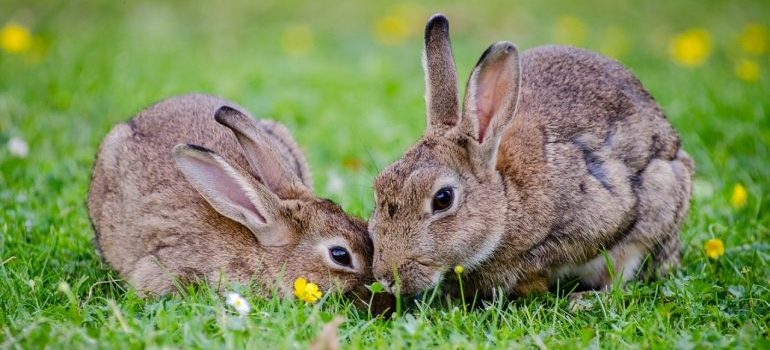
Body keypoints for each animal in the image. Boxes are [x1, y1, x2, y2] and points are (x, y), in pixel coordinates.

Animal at [368, 15, 692, 296]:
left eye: (443, 199)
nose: (386, 277)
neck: (506, 199)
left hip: (661, 196)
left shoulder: (600, 216)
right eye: (379, 187)